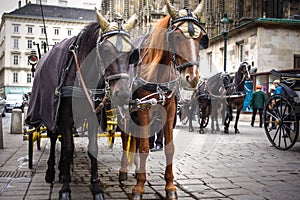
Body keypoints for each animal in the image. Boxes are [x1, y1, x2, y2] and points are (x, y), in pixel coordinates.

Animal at [26, 10, 138, 199]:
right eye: (105, 50)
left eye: (131, 53)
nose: (122, 93)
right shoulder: (63, 116)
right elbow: (68, 147)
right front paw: (65, 188)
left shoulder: (93, 116)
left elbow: (92, 148)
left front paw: (96, 187)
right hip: (50, 113)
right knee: (54, 136)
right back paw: (51, 171)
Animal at [118, 0, 209, 199]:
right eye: (177, 37)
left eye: (200, 39)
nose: (193, 78)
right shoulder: (143, 109)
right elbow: (145, 147)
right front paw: (139, 188)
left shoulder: (169, 109)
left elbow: (169, 148)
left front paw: (170, 187)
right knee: (126, 136)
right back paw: (124, 170)